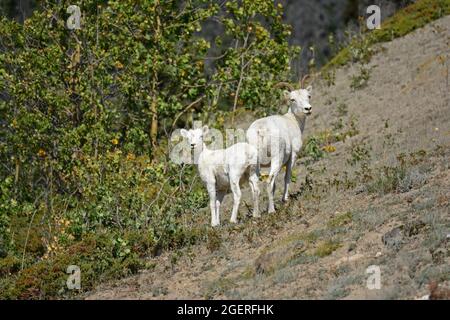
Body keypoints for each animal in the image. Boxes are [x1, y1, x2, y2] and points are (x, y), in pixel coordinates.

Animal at [246, 76, 312, 214]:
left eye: (308, 96)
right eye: (292, 99)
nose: (308, 109)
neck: (293, 121)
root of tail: (260, 130)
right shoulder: (292, 157)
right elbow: (287, 177)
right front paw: (285, 199)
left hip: (255, 164)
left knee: (254, 184)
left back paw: (256, 214)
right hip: (277, 158)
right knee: (269, 181)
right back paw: (272, 211)